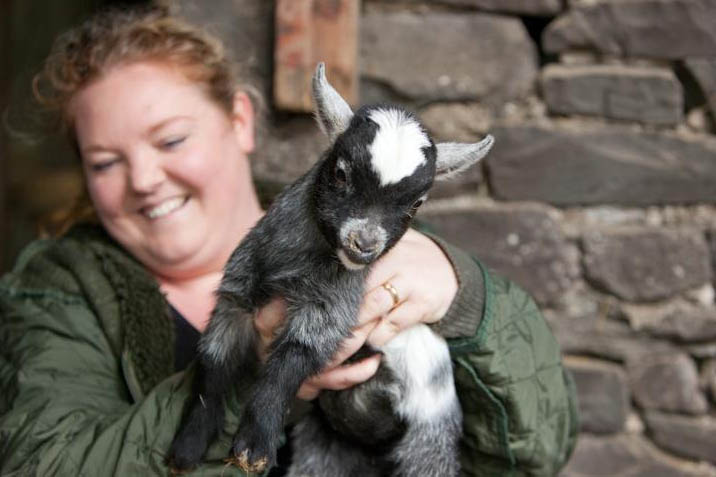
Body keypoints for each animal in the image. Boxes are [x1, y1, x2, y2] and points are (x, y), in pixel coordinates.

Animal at [169, 63, 494, 476]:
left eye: (417, 202)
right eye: (340, 173)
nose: (364, 245)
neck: (297, 265)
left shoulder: (330, 307)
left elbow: (290, 361)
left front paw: (253, 447)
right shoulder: (238, 288)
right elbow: (214, 364)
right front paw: (187, 448)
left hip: (428, 442)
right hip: (323, 447)